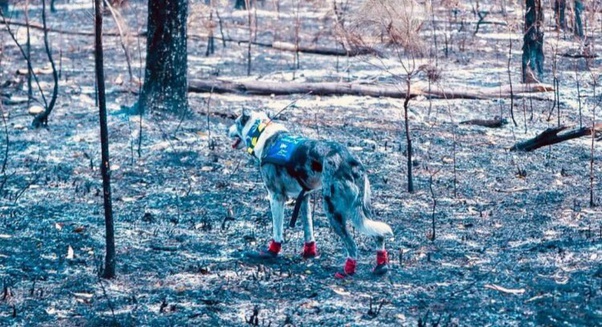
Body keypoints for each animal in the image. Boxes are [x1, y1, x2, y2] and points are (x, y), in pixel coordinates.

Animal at [227, 111, 392, 280]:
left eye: (235, 122)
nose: (227, 130)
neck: (261, 133)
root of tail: (351, 161)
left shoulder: (276, 197)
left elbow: (277, 231)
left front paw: (271, 252)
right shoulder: (304, 197)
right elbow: (308, 230)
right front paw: (309, 253)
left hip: (333, 211)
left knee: (352, 245)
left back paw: (346, 271)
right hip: (364, 211)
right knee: (379, 235)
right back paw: (381, 266)